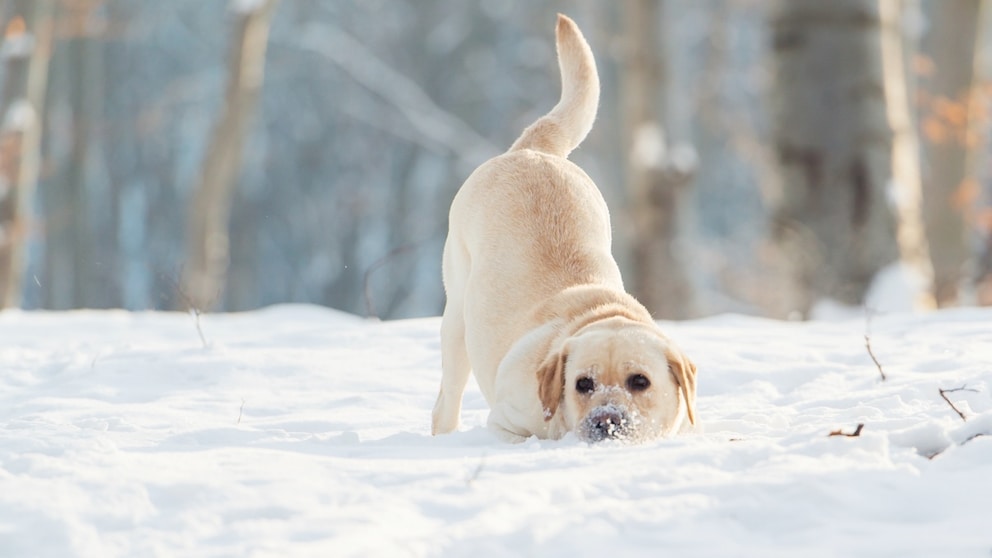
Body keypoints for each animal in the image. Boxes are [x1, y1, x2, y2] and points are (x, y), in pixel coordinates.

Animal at [432, 13, 696, 444]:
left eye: (640, 381)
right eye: (582, 384)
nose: (607, 420)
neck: (598, 314)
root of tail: (533, 149)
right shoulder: (505, 421)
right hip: (457, 321)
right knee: (445, 401)